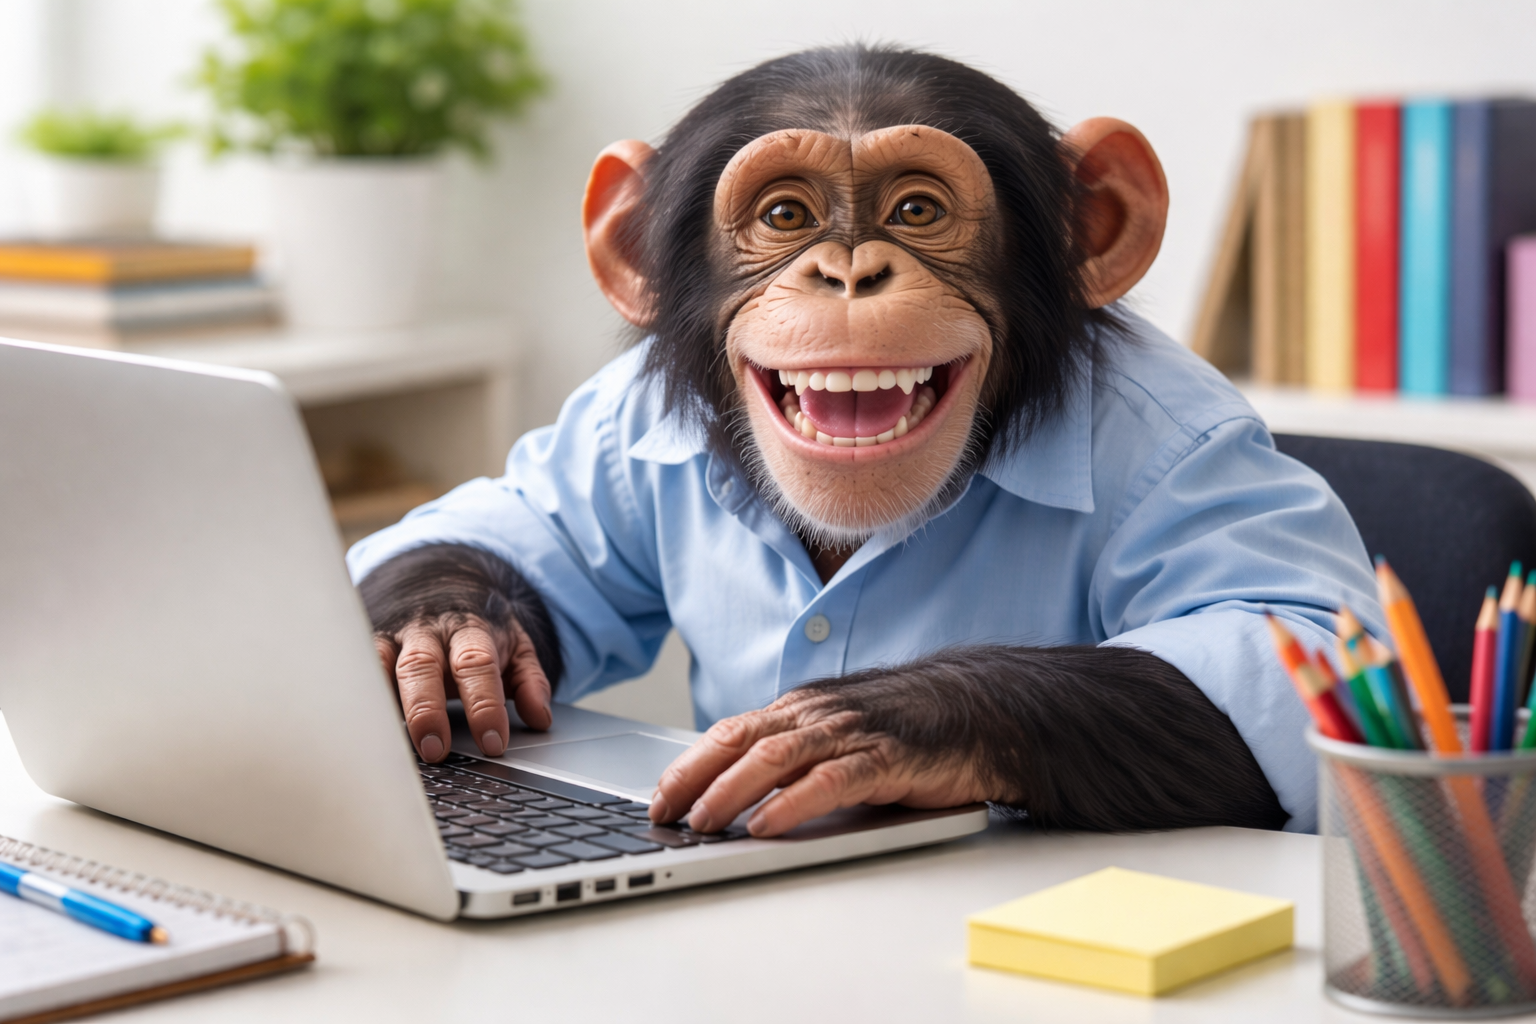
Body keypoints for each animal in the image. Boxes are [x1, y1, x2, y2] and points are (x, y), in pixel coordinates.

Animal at [351, 45, 1382, 840]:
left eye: (916, 210)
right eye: (786, 215)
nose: (849, 274)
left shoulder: (1192, 442)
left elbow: (1282, 632)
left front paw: (875, 723)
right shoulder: (619, 422)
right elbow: (513, 523)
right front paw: (437, 638)